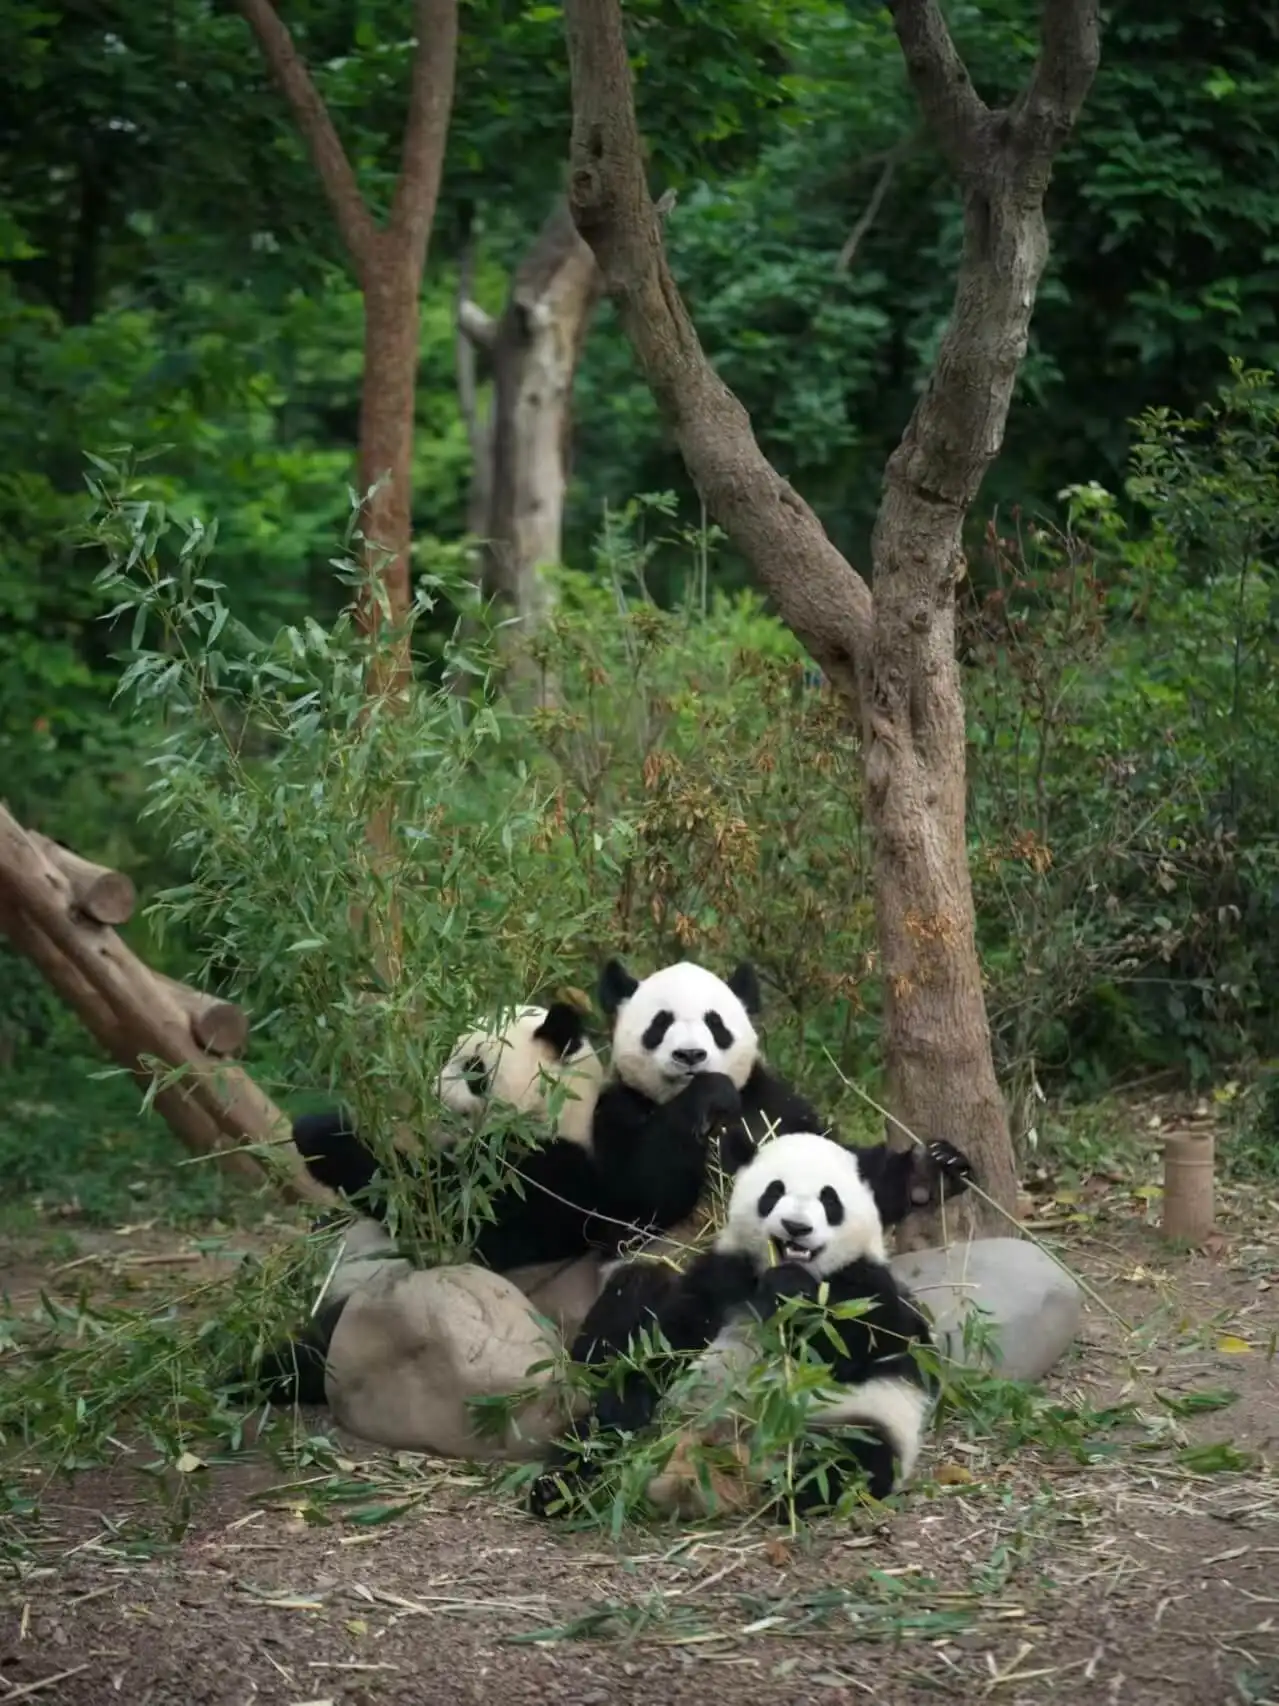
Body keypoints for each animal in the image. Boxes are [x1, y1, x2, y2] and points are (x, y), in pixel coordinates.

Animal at [529, 1128, 940, 1521]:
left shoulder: (866, 1289)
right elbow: (670, 1339)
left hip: (851, 1420)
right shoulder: (723, 1275)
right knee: (600, 1431)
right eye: (774, 1191)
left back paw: (795, 1495)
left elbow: (851, 1348)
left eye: (829, 1200)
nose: (796, 1227)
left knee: (853, 1459)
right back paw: (557, 1490)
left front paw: (792, 1293)